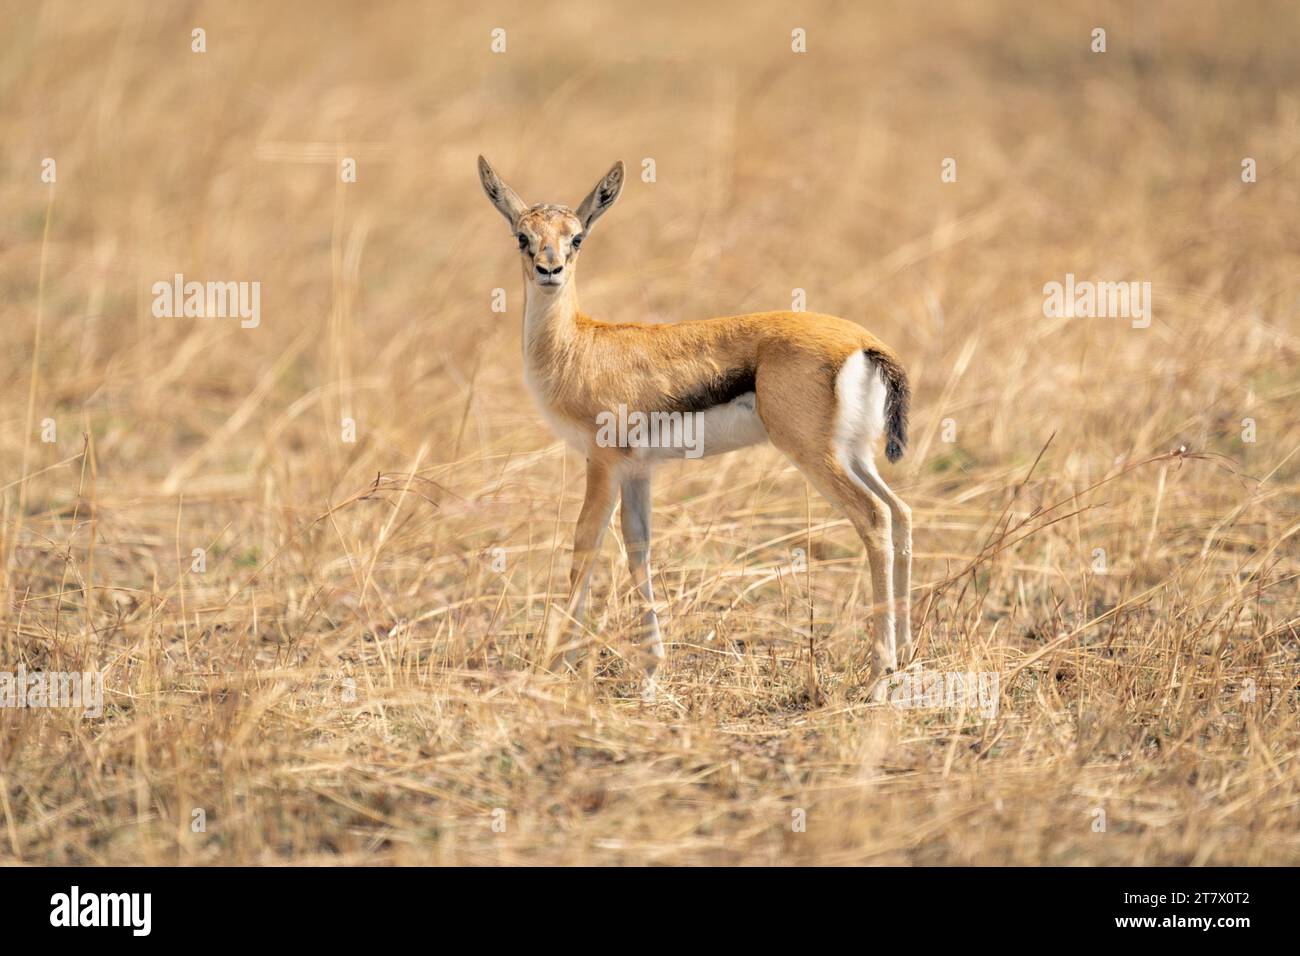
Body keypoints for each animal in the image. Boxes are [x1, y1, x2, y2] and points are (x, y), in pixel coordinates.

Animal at [478, 156, 913, 700]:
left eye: (576, 237)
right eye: (523, 235)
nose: (549, 271)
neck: (576, 346)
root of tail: (866, 343)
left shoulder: (602, 464)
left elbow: (586, 546)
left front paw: (552, 666)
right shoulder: (637, 472)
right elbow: (638, 547)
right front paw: (649, 675)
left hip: (815, 456)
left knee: (873, 517)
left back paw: (878, 676)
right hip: (854, 454)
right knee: (900, 513)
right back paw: (907, 656)